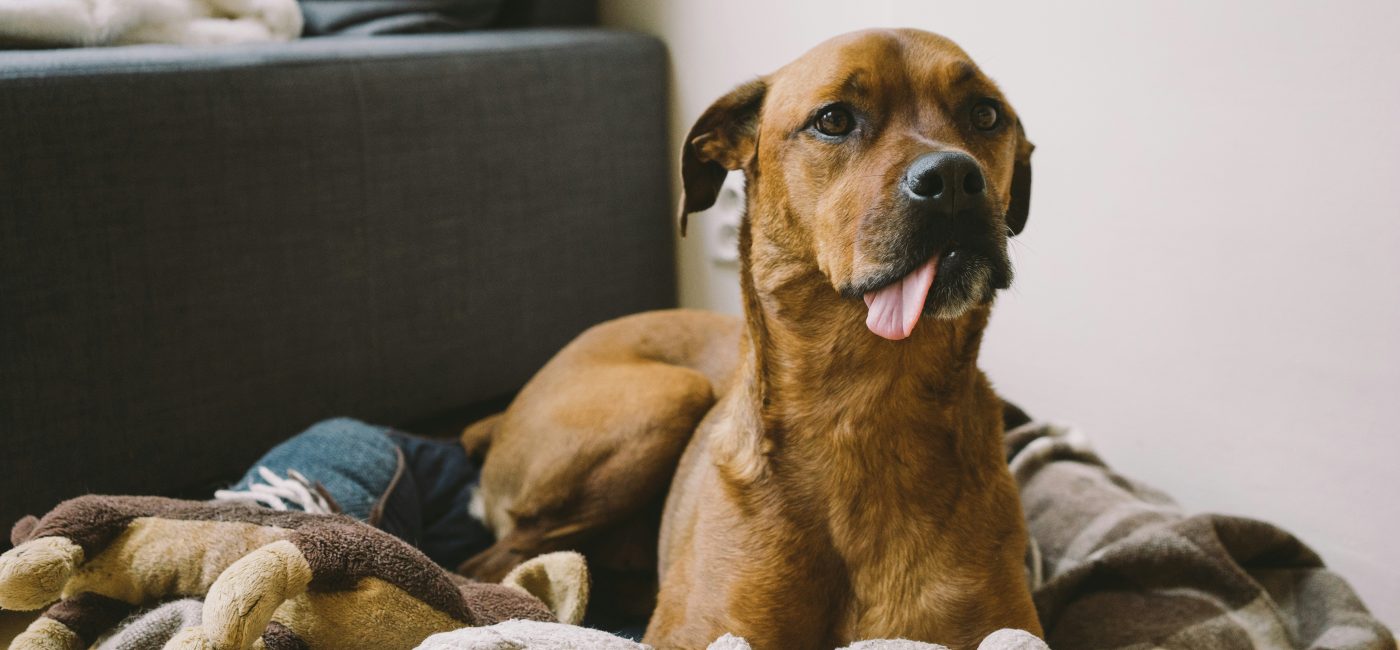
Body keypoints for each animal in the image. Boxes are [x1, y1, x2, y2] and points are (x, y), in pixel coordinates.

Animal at [459, 29, 1041, 650]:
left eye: (985, 114)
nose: (954, 178)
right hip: (664, 399)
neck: (866, 406)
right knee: (494, 564)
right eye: (833, 119)